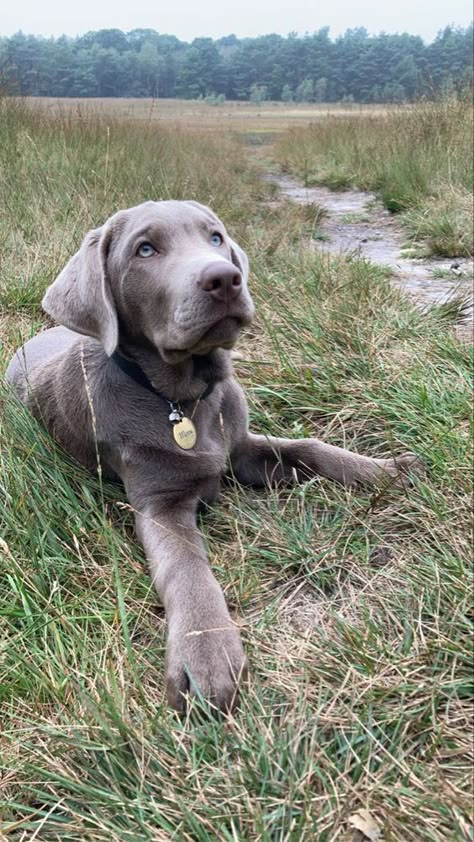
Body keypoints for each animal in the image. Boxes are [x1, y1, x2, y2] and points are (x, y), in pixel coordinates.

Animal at [5, 200, 422, 712]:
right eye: (145, 249)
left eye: (216, 238)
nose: (224, 279)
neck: (182, 401)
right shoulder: (160, 504)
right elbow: (187, 569)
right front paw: (206, 653)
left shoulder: (241, 448)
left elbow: (311, 447)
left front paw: (388, 470)